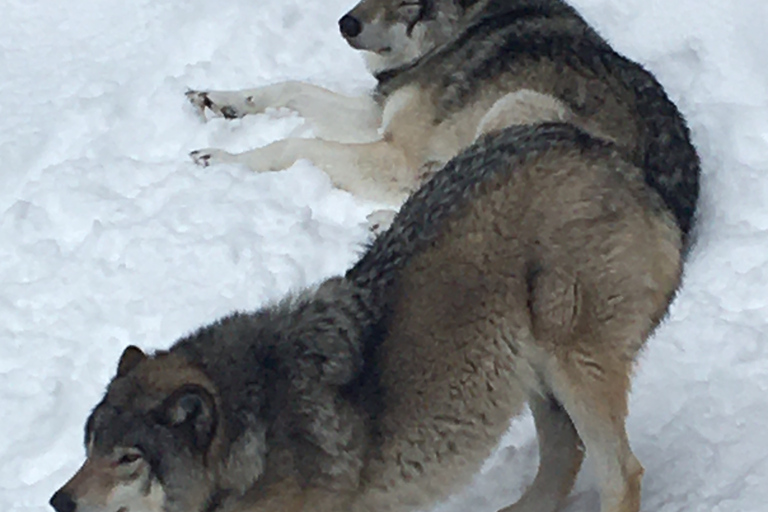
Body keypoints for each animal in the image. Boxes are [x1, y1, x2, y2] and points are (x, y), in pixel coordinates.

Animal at [54, 119, 688, 512]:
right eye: (89, 447)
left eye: (128, 459)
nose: (59, 502)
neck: (252, 439)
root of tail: (609, 155)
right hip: (532, 376)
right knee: (565, 457)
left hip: (570, 364)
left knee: (620, 472)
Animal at [184, 0, 696, 240]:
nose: (346, 24)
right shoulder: (377, 116)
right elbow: (290, 87)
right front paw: (220, 101)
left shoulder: (396, 154)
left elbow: (293, 144)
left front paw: (223, 158)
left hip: (518, 107)